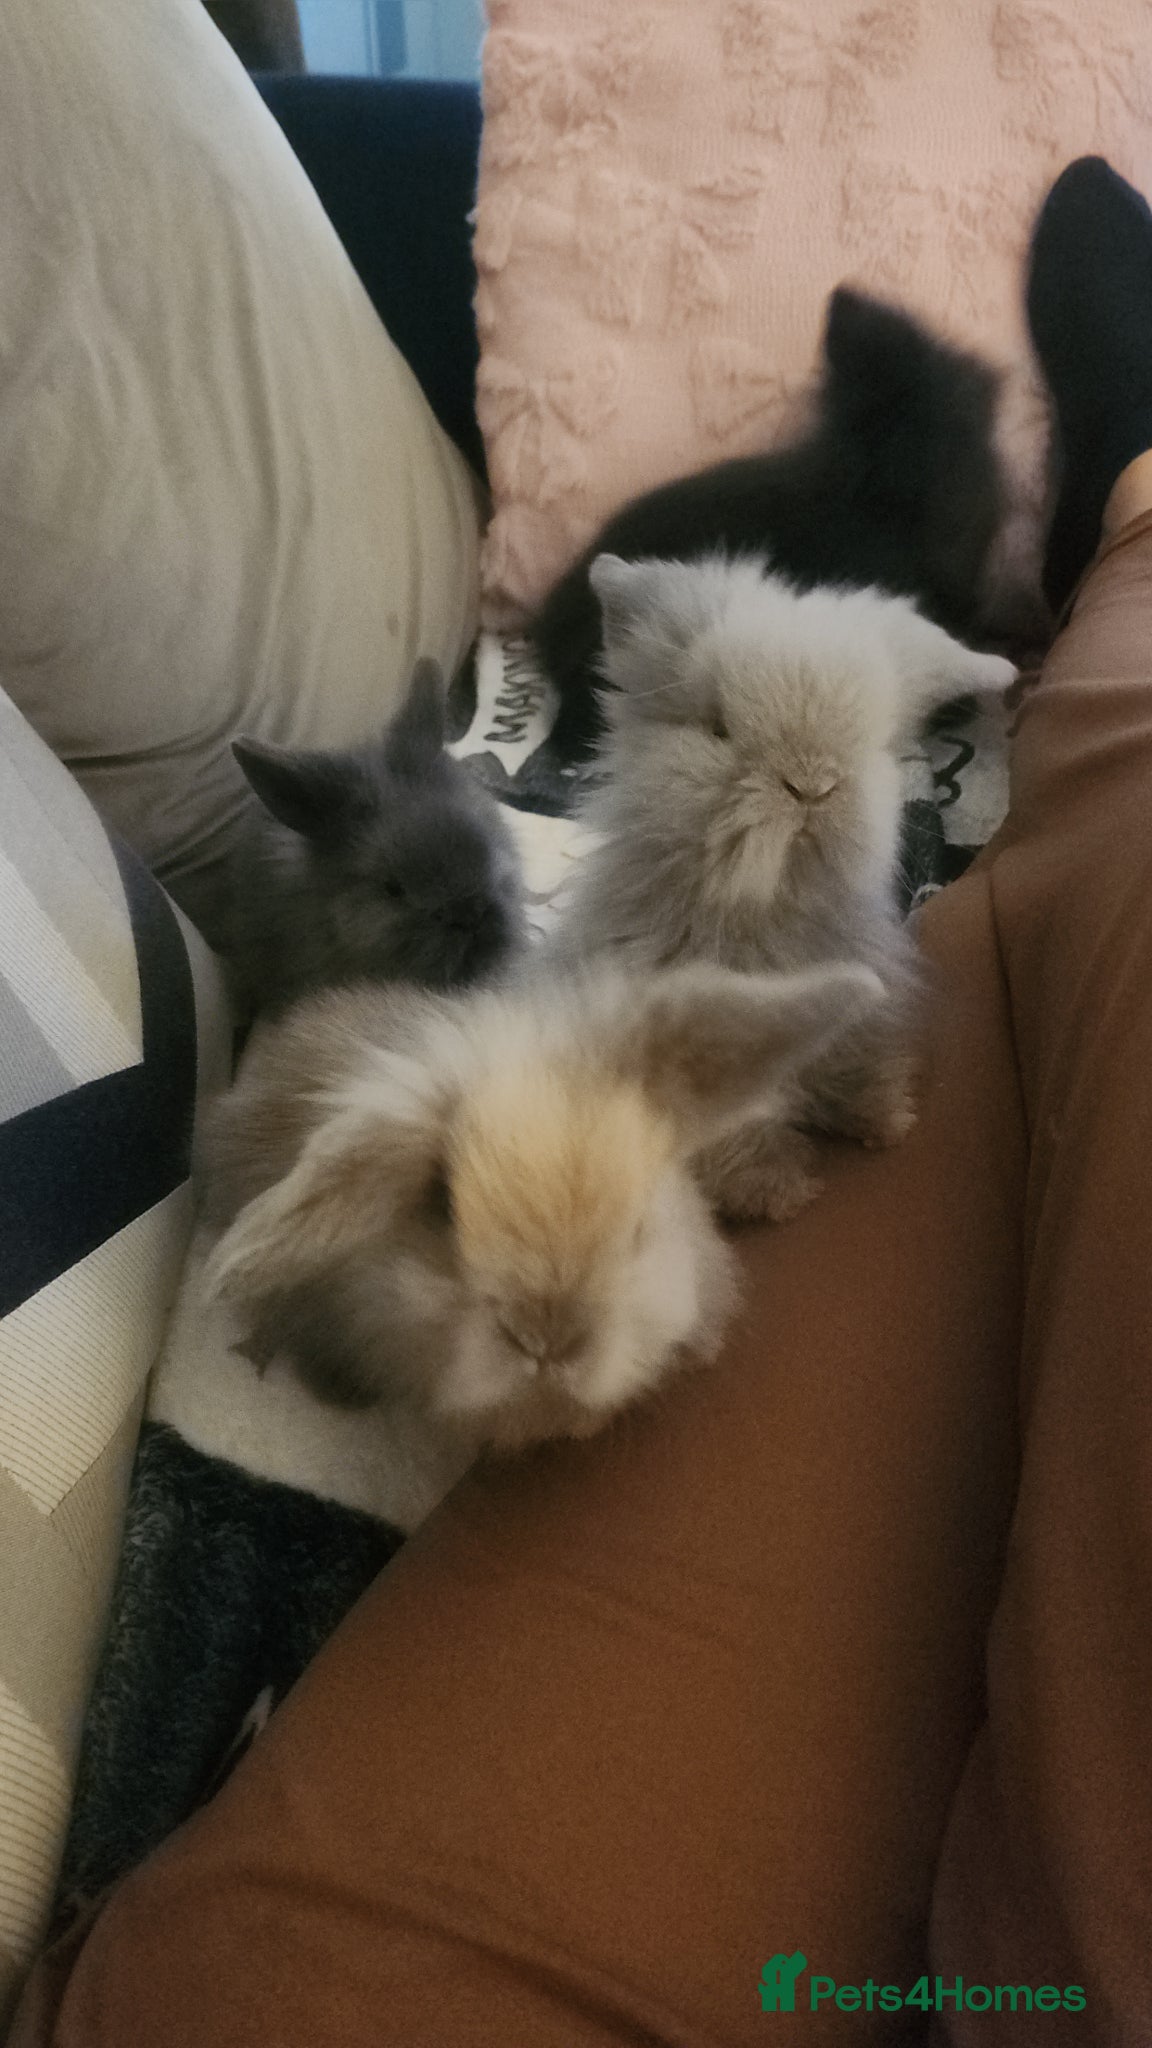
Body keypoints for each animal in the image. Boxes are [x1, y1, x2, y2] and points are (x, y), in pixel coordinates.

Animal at [548, 552, 1017, 1224]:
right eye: (717, 727)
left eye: (871, 740)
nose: (811, 784)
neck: (766, 908)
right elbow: (738, 1138)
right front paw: (785, 1194)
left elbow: (852, 1064)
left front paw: (887, 1119)